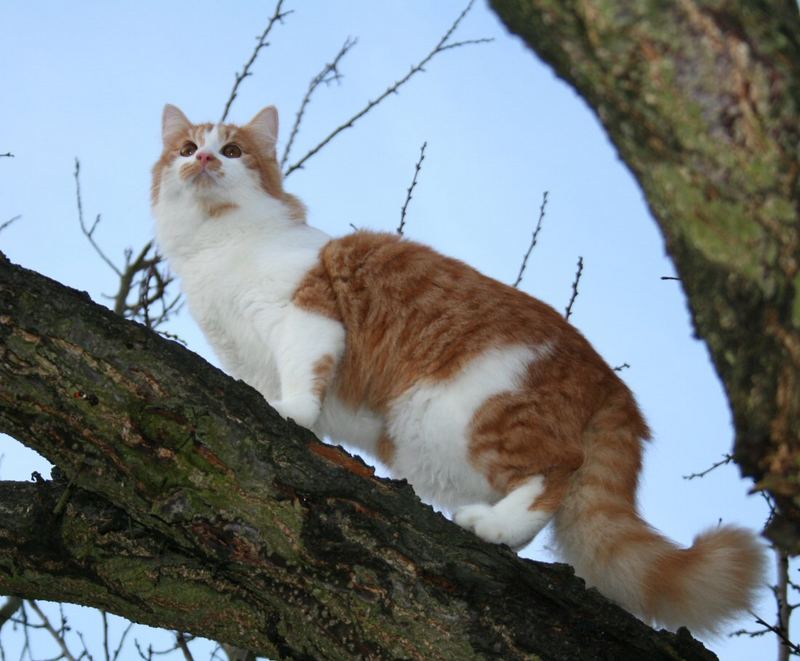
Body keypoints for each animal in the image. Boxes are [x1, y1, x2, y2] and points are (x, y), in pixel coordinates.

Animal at [153, 103, 764, 636]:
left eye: (231, 150)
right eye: (186, 149)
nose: (202, 159)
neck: (217, 250)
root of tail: (612, 381)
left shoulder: (309, 315)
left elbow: (303, 377)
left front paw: (294, 412)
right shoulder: (244, 354)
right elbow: (259, 382)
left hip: (467, 412)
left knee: (559, 470)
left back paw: (494, 527)